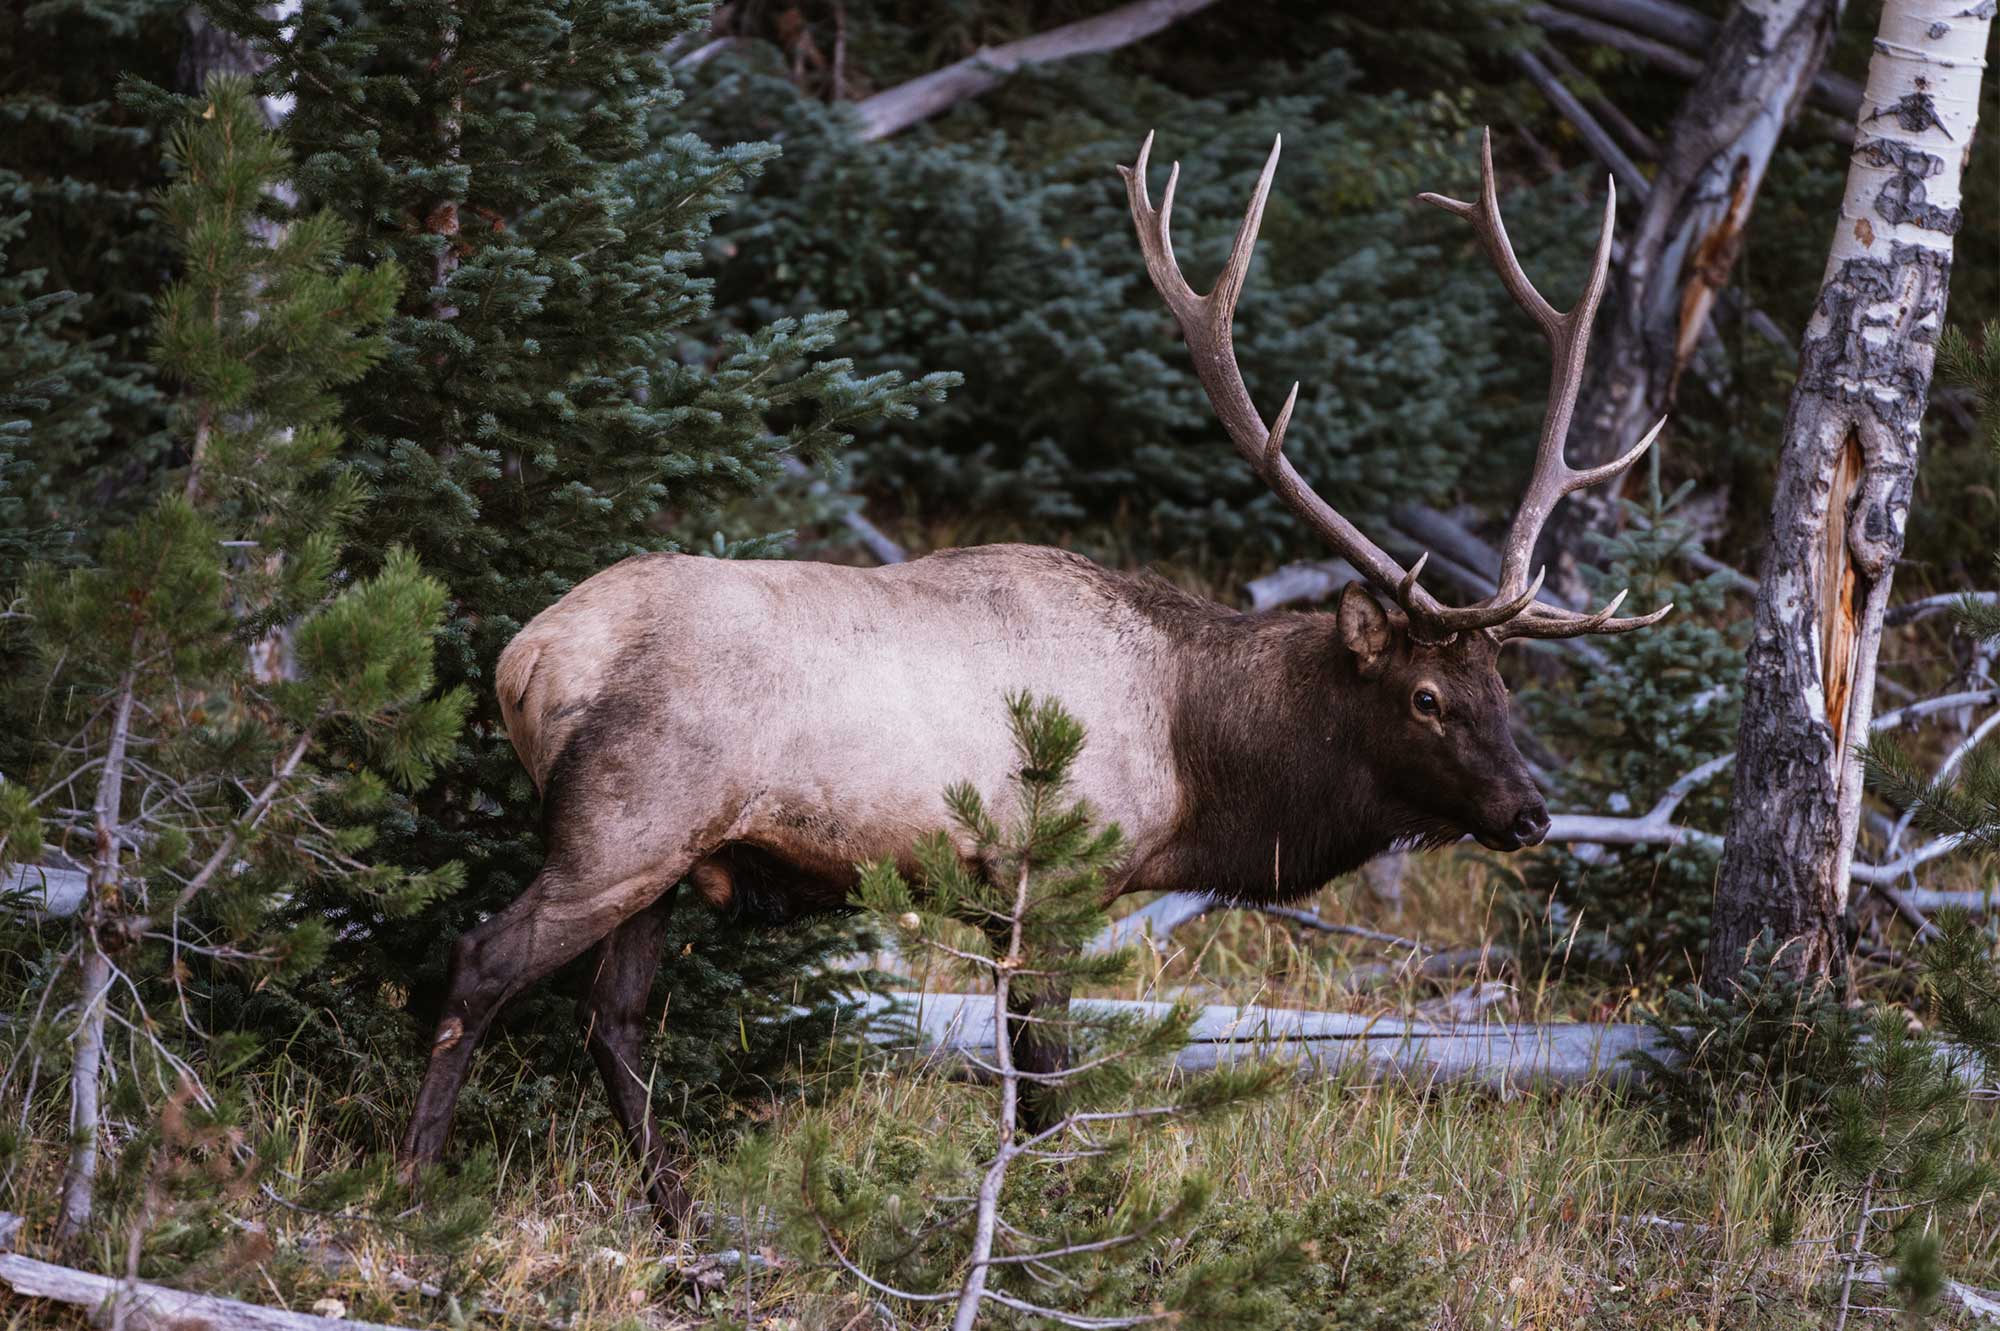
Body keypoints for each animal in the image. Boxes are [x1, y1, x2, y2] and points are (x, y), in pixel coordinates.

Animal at [398, 129, 1664, 1215]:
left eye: (1505, 693)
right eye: (1424, 695)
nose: (1528, 811)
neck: (1197, 755)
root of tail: (522, 657)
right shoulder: (1050, 873)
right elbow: (1048, 1084)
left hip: (664, 859)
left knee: (613, 1020)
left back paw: (682, 1224)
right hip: (621, 826)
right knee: (480, 963)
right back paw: (411, 1185)